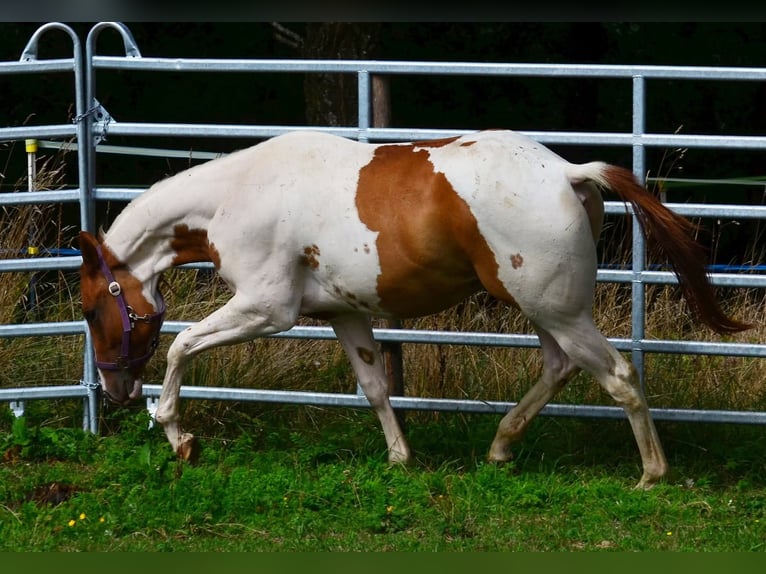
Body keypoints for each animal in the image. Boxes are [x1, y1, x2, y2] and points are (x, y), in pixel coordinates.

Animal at [78, 129, 750, 489]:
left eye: (88, 310)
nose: (113, 391)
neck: (235, 197)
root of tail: (569, 173)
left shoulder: (267, 309)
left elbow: (181, 345)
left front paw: (179, 438)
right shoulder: (344, 314)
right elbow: (375, 386)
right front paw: (401, 458)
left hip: (558, 310)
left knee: (618, 375)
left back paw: (651, 473)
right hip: (545, 310)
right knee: (560, 368)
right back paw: (500, 448)